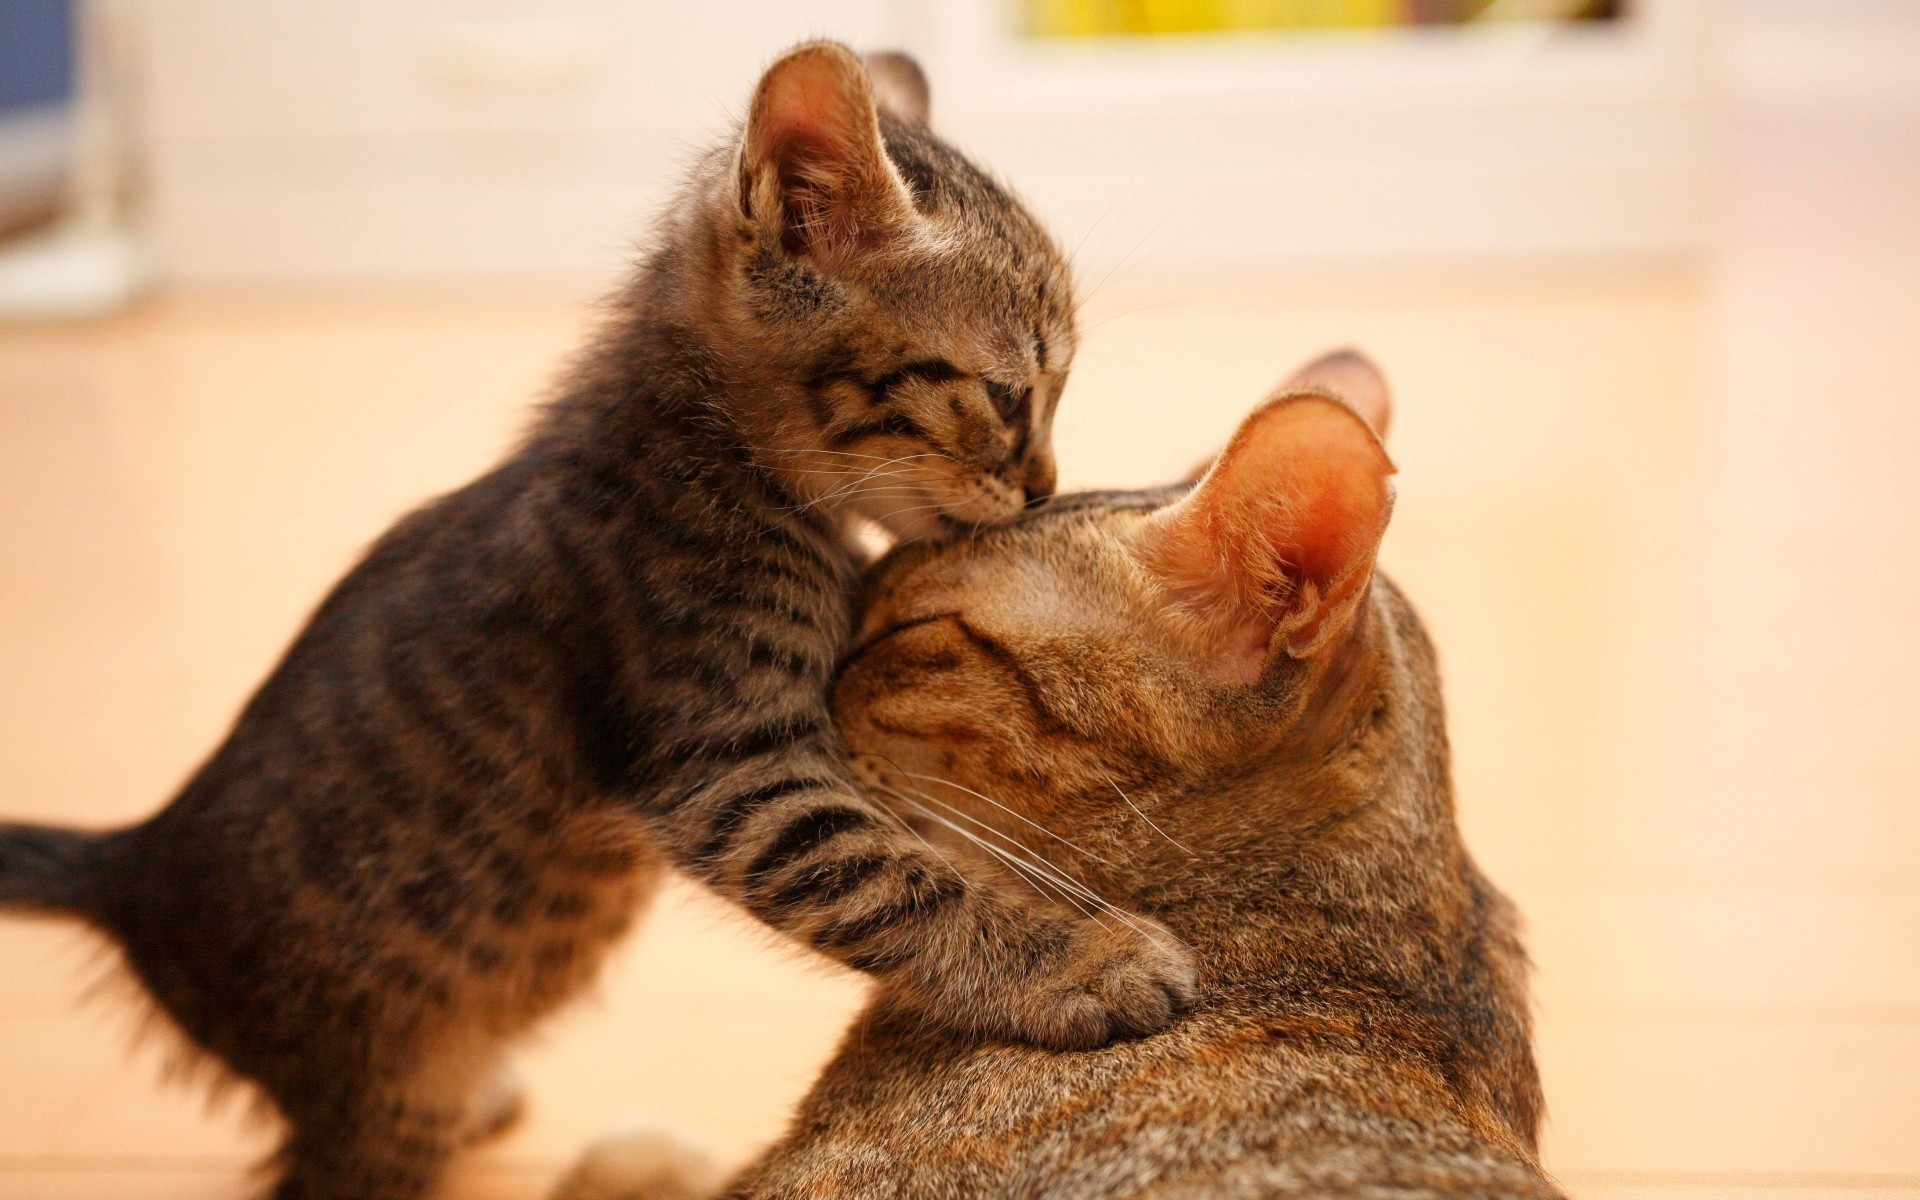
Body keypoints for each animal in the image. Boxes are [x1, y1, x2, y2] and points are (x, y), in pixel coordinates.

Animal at [0, 39, 1198, 1198]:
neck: (720, 457)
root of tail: (137, 866)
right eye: (1008, 395)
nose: (1045, 486)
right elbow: (897, 880)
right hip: (382, 1090)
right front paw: (1085, 961)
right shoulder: (729, 769)